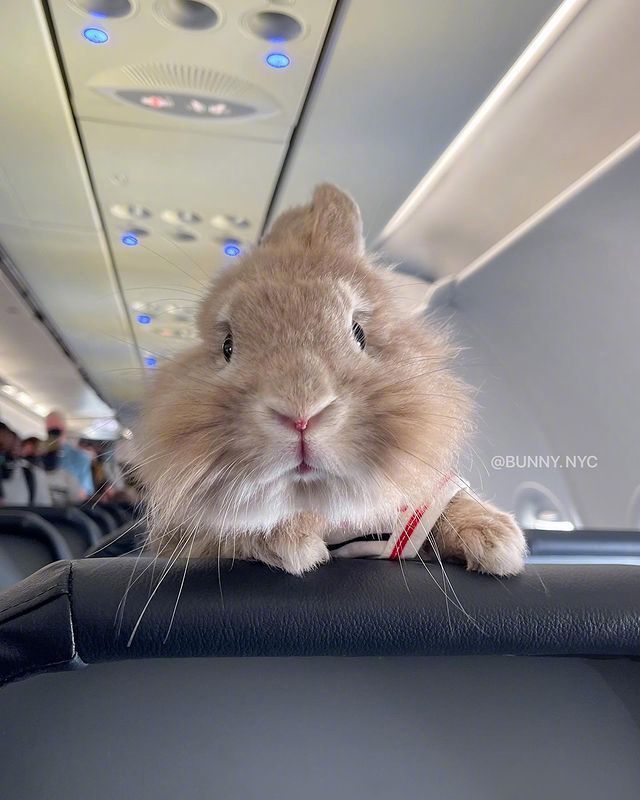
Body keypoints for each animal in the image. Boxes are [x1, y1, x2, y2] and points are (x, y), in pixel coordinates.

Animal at [136, 184, 527, 576]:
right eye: (227, 346)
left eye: (359, 332)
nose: (301, 415)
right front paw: (291, 541)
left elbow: (448, 504)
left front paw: (498, 541)